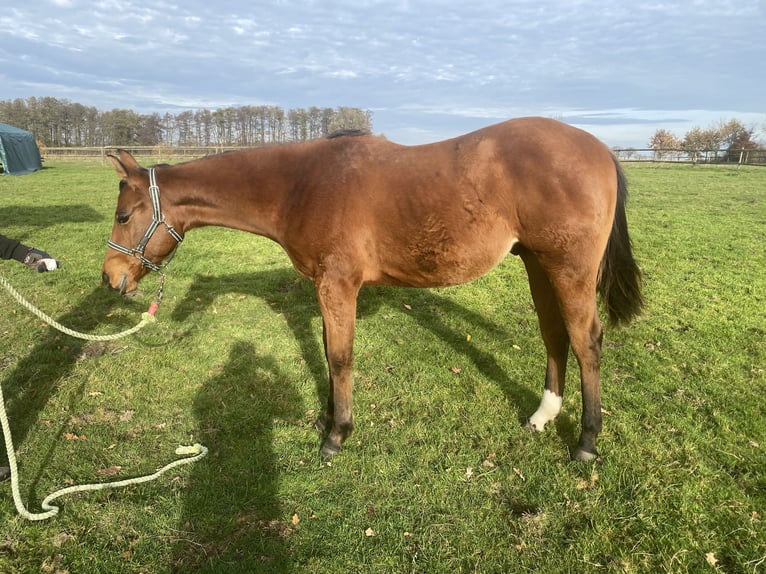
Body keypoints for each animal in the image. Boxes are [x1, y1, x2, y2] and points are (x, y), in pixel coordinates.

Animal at [101, 117, 643, 461]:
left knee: (586, 341)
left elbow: (341, 357)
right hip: (537, 264)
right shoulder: (324, 288)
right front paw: (324, 420)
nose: (110, 278)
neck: (301, 185)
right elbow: (326, 351)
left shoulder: (339, 284)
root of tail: (600, 150)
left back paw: (586, 442)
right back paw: (543, 416)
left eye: (124, 215)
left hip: (569, 270)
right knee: (554, 335)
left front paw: (337, 435)